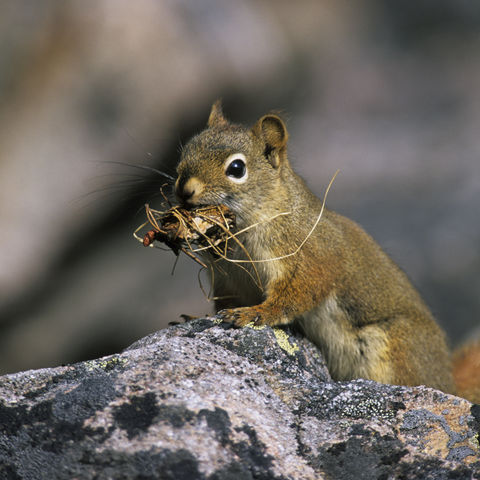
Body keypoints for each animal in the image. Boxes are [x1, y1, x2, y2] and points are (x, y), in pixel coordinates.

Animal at [174, 100, 480, 404]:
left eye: (237, 168)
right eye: (187, 150)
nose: (185, 191)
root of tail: (447, 382)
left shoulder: (309, 258)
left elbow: (294, 295)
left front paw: (256, 313)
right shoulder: (229, 278)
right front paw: (197, 317)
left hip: (396, 347)